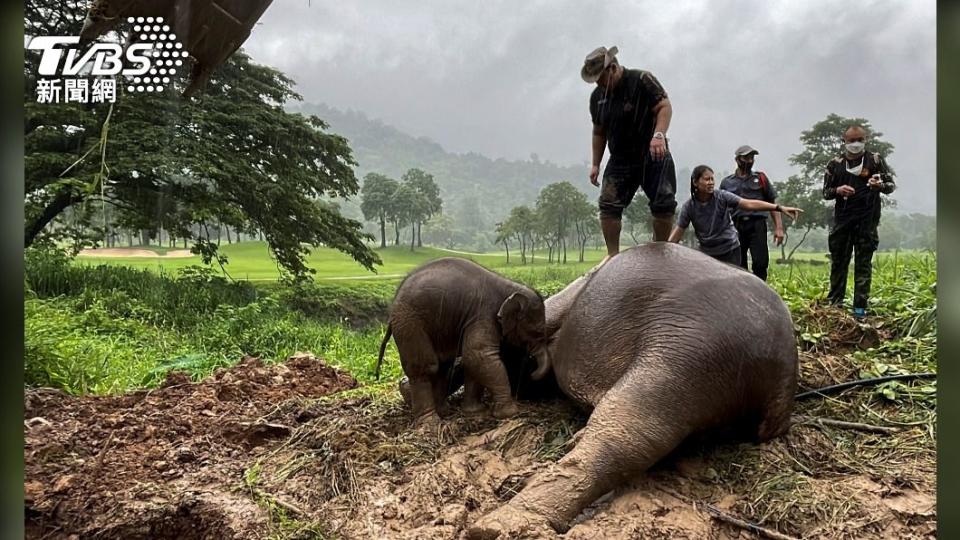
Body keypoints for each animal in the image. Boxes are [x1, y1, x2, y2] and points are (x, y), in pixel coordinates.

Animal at [378, 258, 552, 426]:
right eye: (536, 333)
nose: (532, 372)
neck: (509, 286)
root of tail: (392, 308)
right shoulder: (483, 314)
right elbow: (478, 355)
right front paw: (509, 413)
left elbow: (472, 361)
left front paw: (476, 412)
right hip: (410, 323)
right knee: (426, 367)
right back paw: (430, 423)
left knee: (443, 366)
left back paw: (444, 412)